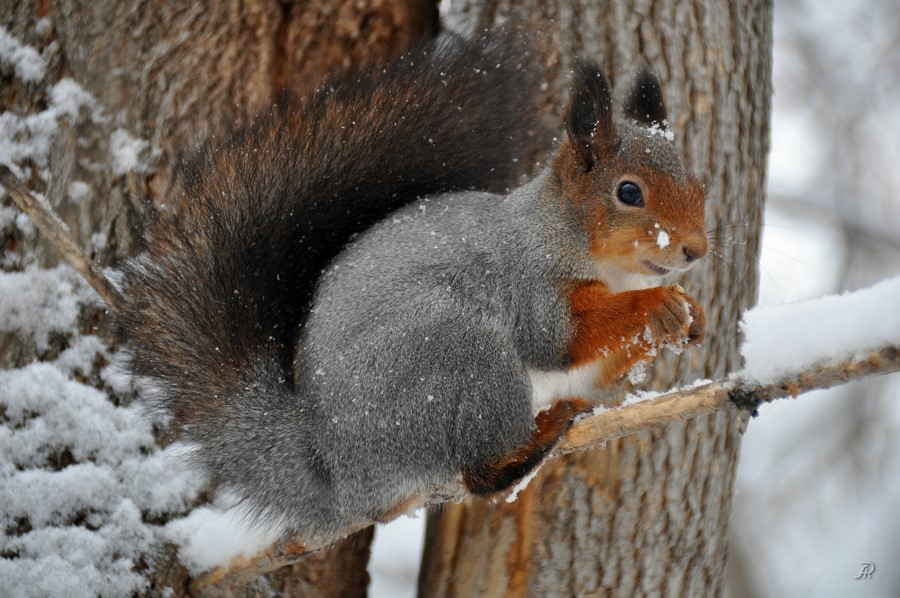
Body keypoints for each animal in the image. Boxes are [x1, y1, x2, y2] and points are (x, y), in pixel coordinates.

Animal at [121, 31, 712, 544]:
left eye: (700, 185)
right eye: (629, 192)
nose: (696, 250)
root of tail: (336, 464)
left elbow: (603, 369)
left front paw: (688, 317)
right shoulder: (533, 287)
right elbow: (560, 339)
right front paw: (657, 304)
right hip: (460, 359)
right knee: (479, 472)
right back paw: (537, 438)